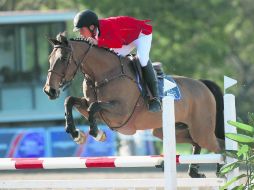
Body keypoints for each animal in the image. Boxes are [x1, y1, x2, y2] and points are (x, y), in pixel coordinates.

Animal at [43, 31, 224, 177]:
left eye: (63, 58)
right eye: (49, 59)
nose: (49, 90)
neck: (104, 74)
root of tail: (202, 84)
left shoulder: (120, 113)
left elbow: (94, 107)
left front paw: (97, 133)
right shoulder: (89, 106)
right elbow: (70, 101)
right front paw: (76, 134)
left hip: (201, 130)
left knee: (220, 146)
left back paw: (221, 170)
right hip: (169, 131)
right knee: (197, 143)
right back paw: (194, 171)